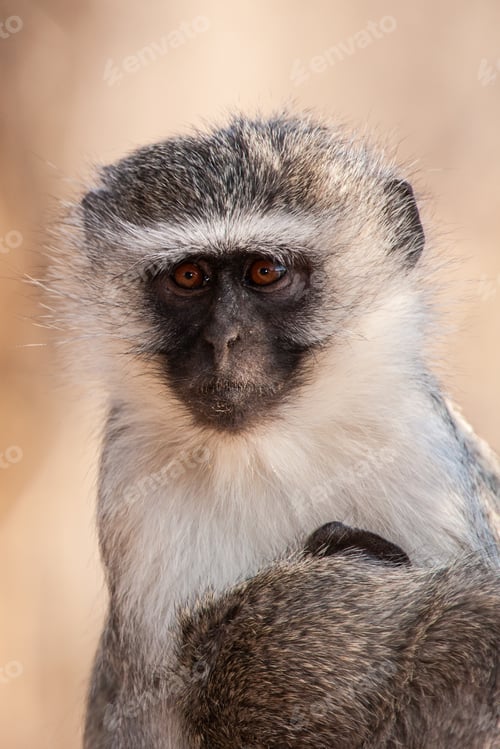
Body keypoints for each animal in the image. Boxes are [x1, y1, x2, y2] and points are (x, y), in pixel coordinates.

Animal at [47, 112, 500, 746]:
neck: (267, 449)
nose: (223, 341)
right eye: (189, 276)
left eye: (267, 271)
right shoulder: (132, 484)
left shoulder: (425, 458)